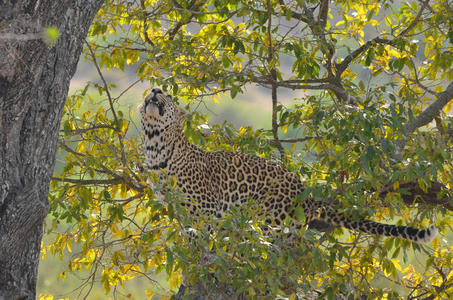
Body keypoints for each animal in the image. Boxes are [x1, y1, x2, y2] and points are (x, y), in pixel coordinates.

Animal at [139, 86, 436, 244]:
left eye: (166, 95)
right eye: (152, 90)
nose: (154, 90)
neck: (155, 147)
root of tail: (305, 191)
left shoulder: (206, 207)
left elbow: (202, 235)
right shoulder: (177, 207)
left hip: (270, 217)